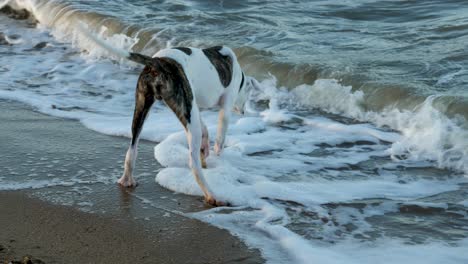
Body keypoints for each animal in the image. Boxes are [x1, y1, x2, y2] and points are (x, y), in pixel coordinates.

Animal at [80, 25, 250, 206]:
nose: (243, 111)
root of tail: (159, 62)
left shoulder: (192, 107)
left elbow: (204, 126)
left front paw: (205, 147)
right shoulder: (223, 108)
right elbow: (220, 139)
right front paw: (216, 155)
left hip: (144, 106)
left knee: (132, 149)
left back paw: (127, 179)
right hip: (184, 110)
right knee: (193, 164)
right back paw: (212, 195)